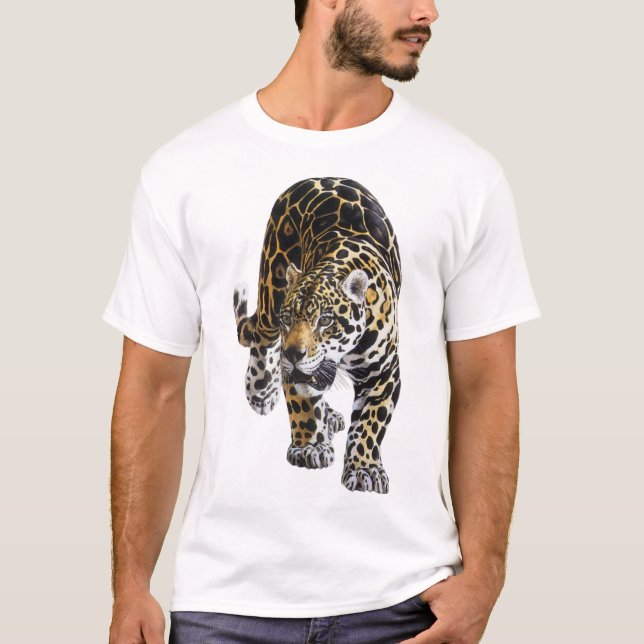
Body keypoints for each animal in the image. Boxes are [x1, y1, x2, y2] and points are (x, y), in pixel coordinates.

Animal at [232, 177, 402, 493]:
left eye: (325, 321)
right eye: (288, 319)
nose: (293, 354)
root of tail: (315, 178)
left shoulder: (383, 371)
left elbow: (370, 422)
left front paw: (365, 469)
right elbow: (303, 403)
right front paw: (309, 447)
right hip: (271, 287)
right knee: (262, 342)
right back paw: (261, 392)